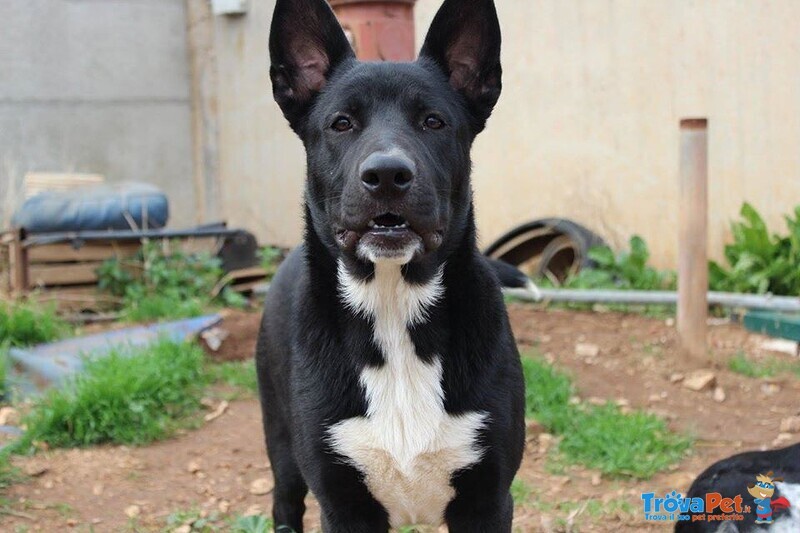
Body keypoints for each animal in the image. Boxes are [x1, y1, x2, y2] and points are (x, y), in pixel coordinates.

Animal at [258, 1, 524, 528]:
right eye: (341, 123)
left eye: (433, 121)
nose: (386, 174)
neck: (392, 304)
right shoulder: (342, 505)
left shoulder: (488, 499)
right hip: (281, 450)